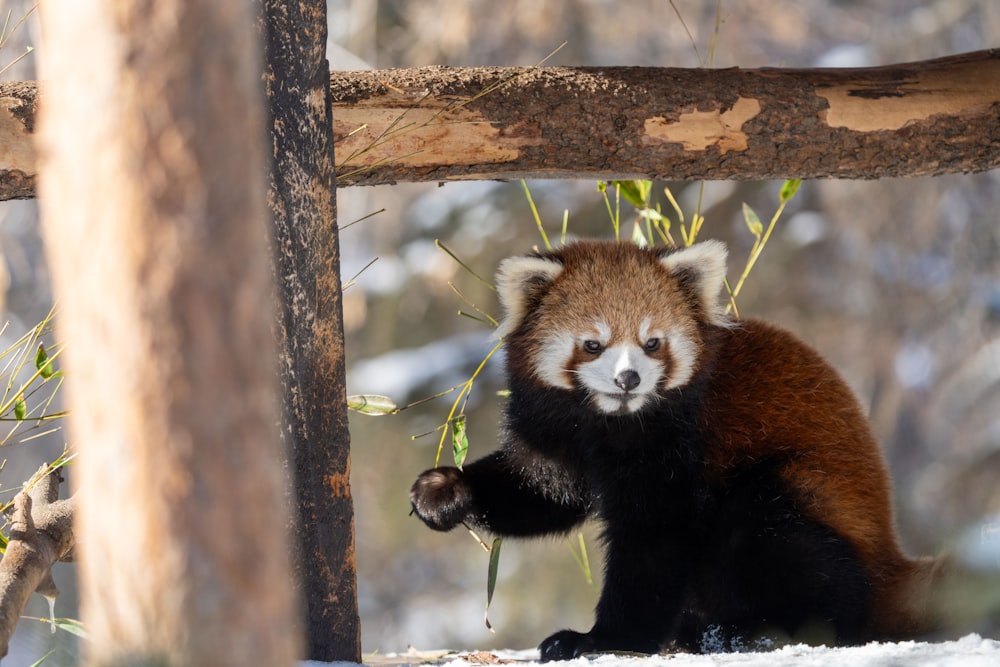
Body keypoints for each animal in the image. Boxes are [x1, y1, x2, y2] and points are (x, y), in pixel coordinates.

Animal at [408, 239, 944, 656]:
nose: (628, 379)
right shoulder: (554, 430)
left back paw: (750, 631)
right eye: (593, 344)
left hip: (799, 494)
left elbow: (654, 541)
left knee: (776, 539)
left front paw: (602, 639)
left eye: (652, 343)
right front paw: (444, 491)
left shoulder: (679, 445)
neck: (607, 423)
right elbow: (540, 490)